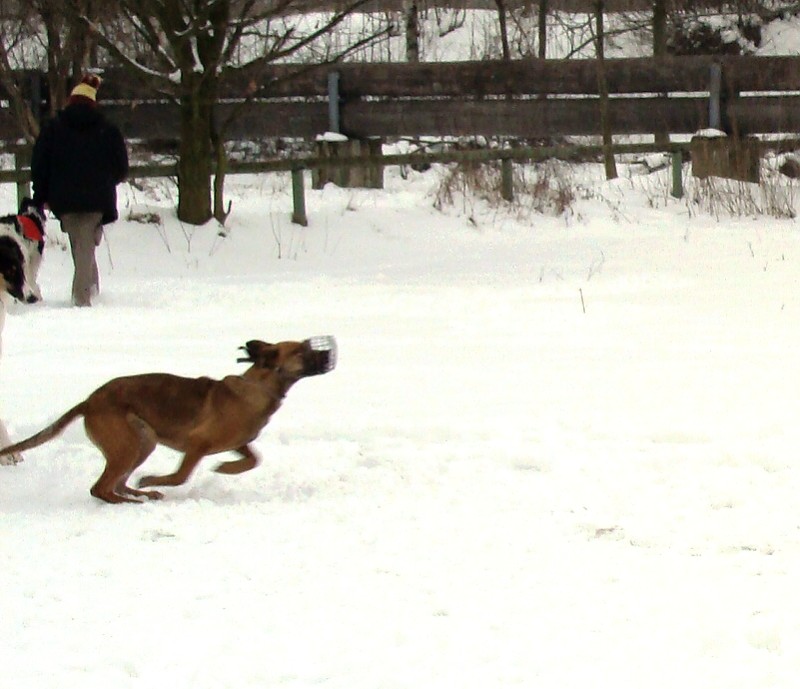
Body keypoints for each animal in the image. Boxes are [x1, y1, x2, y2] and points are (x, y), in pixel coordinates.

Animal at [0, 338, 334, 502]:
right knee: (101, 488)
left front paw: (226, 468)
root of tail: (89, 401)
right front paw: (155, 479)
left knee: (116, 484)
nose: (330, 354)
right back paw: (134, 499)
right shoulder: (197, 445)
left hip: (142, 442)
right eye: (301, 350)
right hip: (128, 445)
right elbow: (181, 476)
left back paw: (141, 494)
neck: (260, 387)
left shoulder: (240, 444)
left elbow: (253, 459)